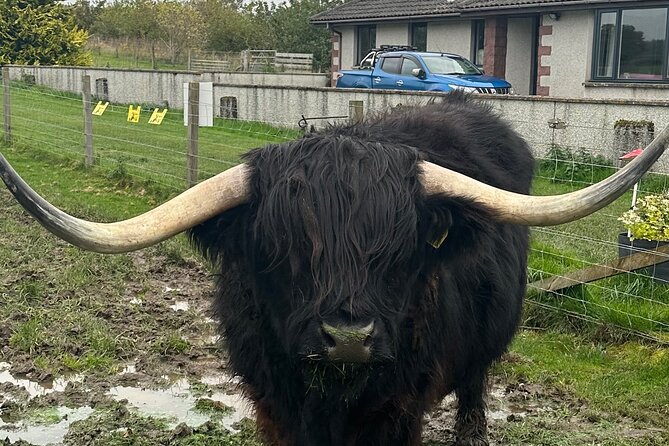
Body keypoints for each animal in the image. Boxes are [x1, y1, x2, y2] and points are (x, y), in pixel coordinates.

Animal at [2, 92, 664, 444]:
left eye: (402, 250)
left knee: (476, 386)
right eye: (280, 248)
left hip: (487, 343)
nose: (348, 337)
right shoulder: (274, 407)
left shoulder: (399, 412)